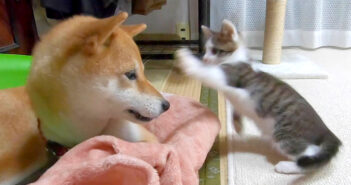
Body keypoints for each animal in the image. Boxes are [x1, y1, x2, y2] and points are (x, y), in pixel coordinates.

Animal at [177, 19, 342, 174]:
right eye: (205, 51)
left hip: (285, 134)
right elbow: (236, 111)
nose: (204, 59)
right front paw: (238, 126)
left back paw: (287, 166)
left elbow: (205, 73)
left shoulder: (227, 76)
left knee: (309, 156)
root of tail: (325, 130)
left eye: (215, 50)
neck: (234, 59)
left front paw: (186, 59)